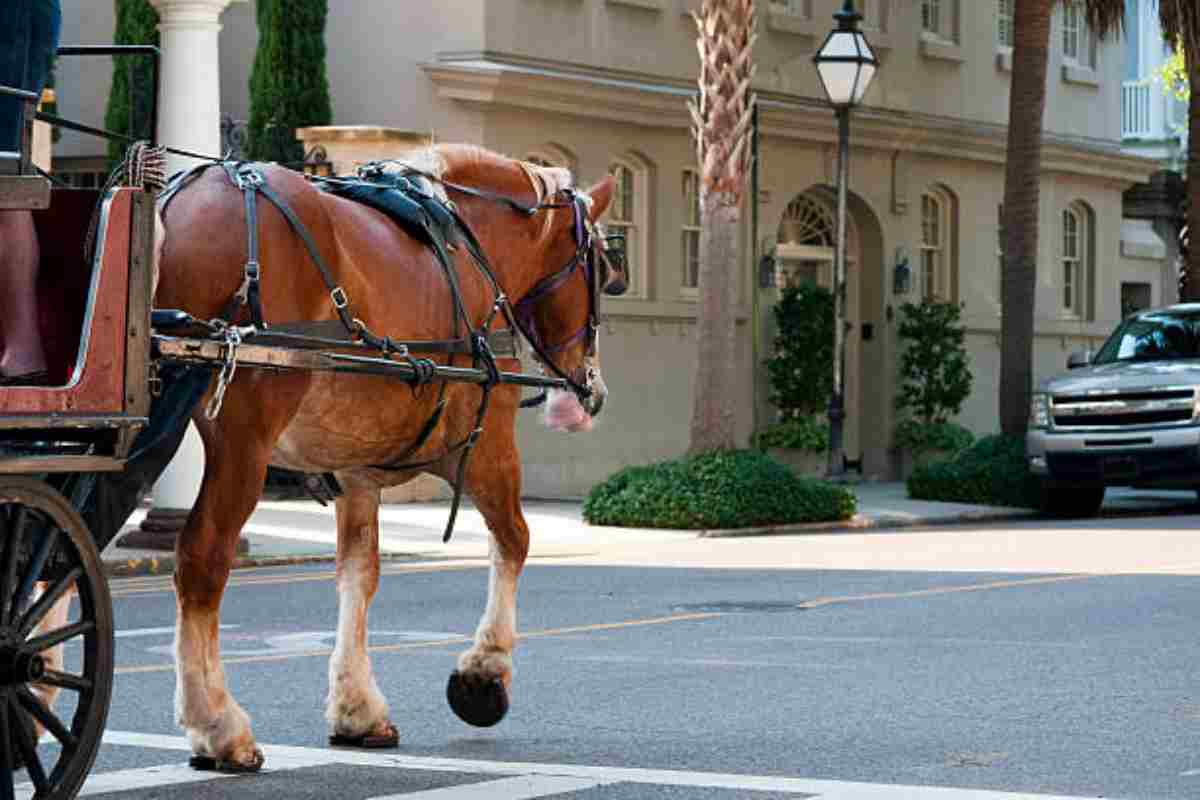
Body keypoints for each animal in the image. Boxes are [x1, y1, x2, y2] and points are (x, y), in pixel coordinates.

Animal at [148, 142, 624, 767]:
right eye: (601, 268)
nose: (591, 388)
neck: (473, 252)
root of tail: (182, 200)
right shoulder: (487, 442)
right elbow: (514, 540)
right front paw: (484, 673)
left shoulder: (355, 472)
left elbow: (359, 573)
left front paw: (357, 707)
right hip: (242, 435)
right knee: (203, 559)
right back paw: (217, 723)